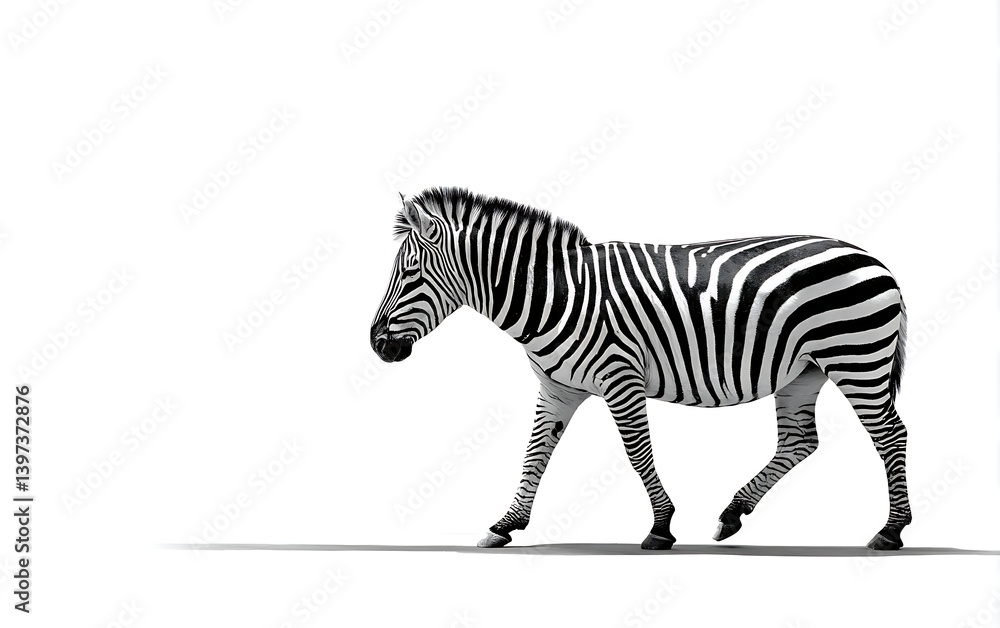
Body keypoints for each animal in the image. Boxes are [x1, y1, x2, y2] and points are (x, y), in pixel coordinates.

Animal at [371, 186, 912, 551]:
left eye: (410, 273)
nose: (377, 346)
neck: (555, 294)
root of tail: (872, 258)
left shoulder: (621, 376)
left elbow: (637, 455)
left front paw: (661, 527)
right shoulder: (558, 389)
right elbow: (534, 455)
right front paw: (503, 525)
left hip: (855, 356)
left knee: (890, 434)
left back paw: (891, 530)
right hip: (804, 370)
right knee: (800, 441)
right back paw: (732, 514)